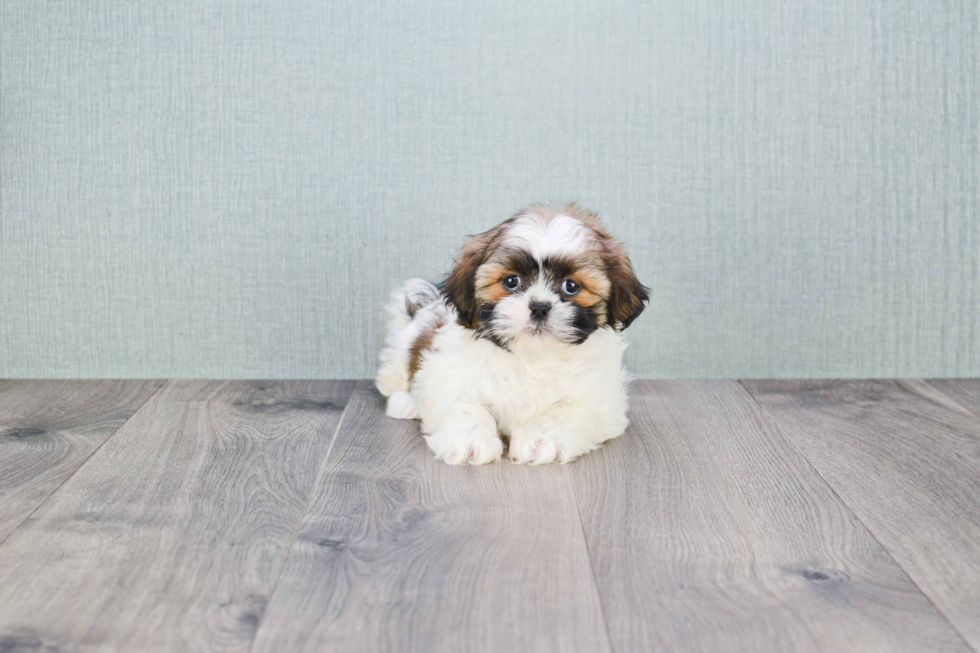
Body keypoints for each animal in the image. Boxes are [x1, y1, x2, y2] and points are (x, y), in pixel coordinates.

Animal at [378, 204, 648, 464]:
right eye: (511, 282)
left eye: (571, 286)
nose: (539, 307)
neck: (531, 357)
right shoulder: (447, 373)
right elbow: (463, 403)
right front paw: (470, 439)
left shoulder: (601, 400)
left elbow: (568, 411)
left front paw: (542, 439)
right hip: (400, 354)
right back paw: (404, 403)